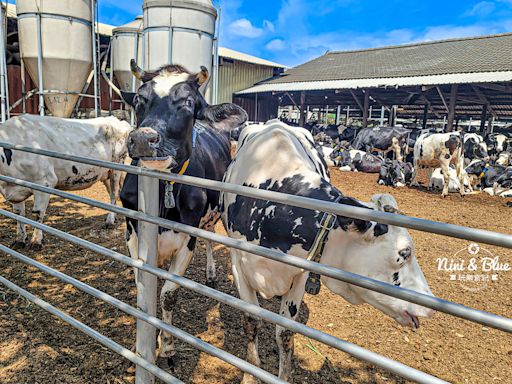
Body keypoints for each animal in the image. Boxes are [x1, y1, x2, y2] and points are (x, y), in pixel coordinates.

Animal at [0, 114, 132, 248]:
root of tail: (116, 119)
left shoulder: (45, 182)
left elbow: (38, 213)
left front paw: (36, 241)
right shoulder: (14, 188)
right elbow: (18, 214)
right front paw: (19, 239)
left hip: (117, 166)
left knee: (114, 194)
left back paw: (110, 220)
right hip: (105, 173)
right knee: (111, 192)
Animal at [120, 60, 248, 366]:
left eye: (188, 103)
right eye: (139, 99)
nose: (142, 139)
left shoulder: (187, 239)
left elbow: (168, 294)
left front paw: (166, 347)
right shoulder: (132, 234)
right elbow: (145, 289)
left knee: (211, 238)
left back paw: (211, 273)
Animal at [222, 122, 434, 384]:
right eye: (404, 253)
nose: (431, 306)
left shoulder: (301, 271)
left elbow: (285, 332)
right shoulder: (238, 263)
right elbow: (251, 320)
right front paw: (249, 374)